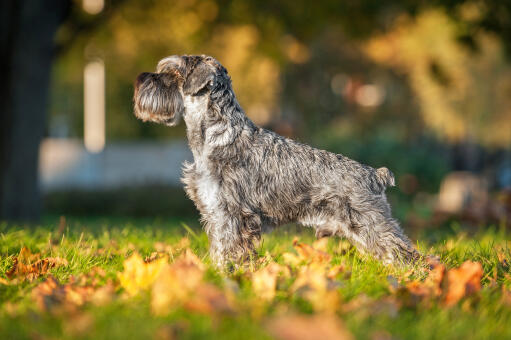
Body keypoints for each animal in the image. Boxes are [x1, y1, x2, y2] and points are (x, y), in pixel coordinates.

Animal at [134, 54, 422, 266]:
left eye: (171, 72)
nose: (140, 79)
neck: (219, 133)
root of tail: (374, 175)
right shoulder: (217, 215)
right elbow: (219, 247)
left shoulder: (229, 214)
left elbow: (228, 249)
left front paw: (225, 274)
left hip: (371, 224)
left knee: (405, 253)